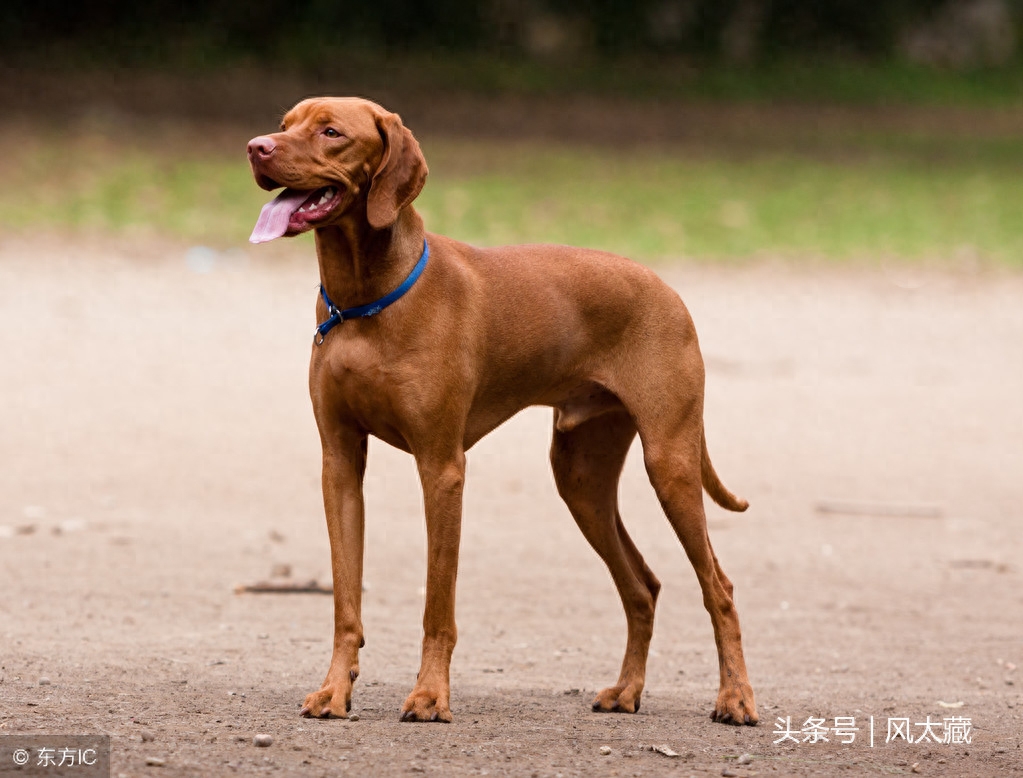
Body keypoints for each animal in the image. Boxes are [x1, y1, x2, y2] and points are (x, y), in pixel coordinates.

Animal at [245, 95, 761, 723]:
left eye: (331, 132)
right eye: (285, 123)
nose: (256, 147)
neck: (365, 300)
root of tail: (669, 289)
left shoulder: (441, 469)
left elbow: (437, 604)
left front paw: (430, 695)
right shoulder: (340, 464)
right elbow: (346, 601)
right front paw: (335, 690)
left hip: (671, 464)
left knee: (719, 587)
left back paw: (735, 698)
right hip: (580, 481)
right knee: (643, 585)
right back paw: (627, 690)